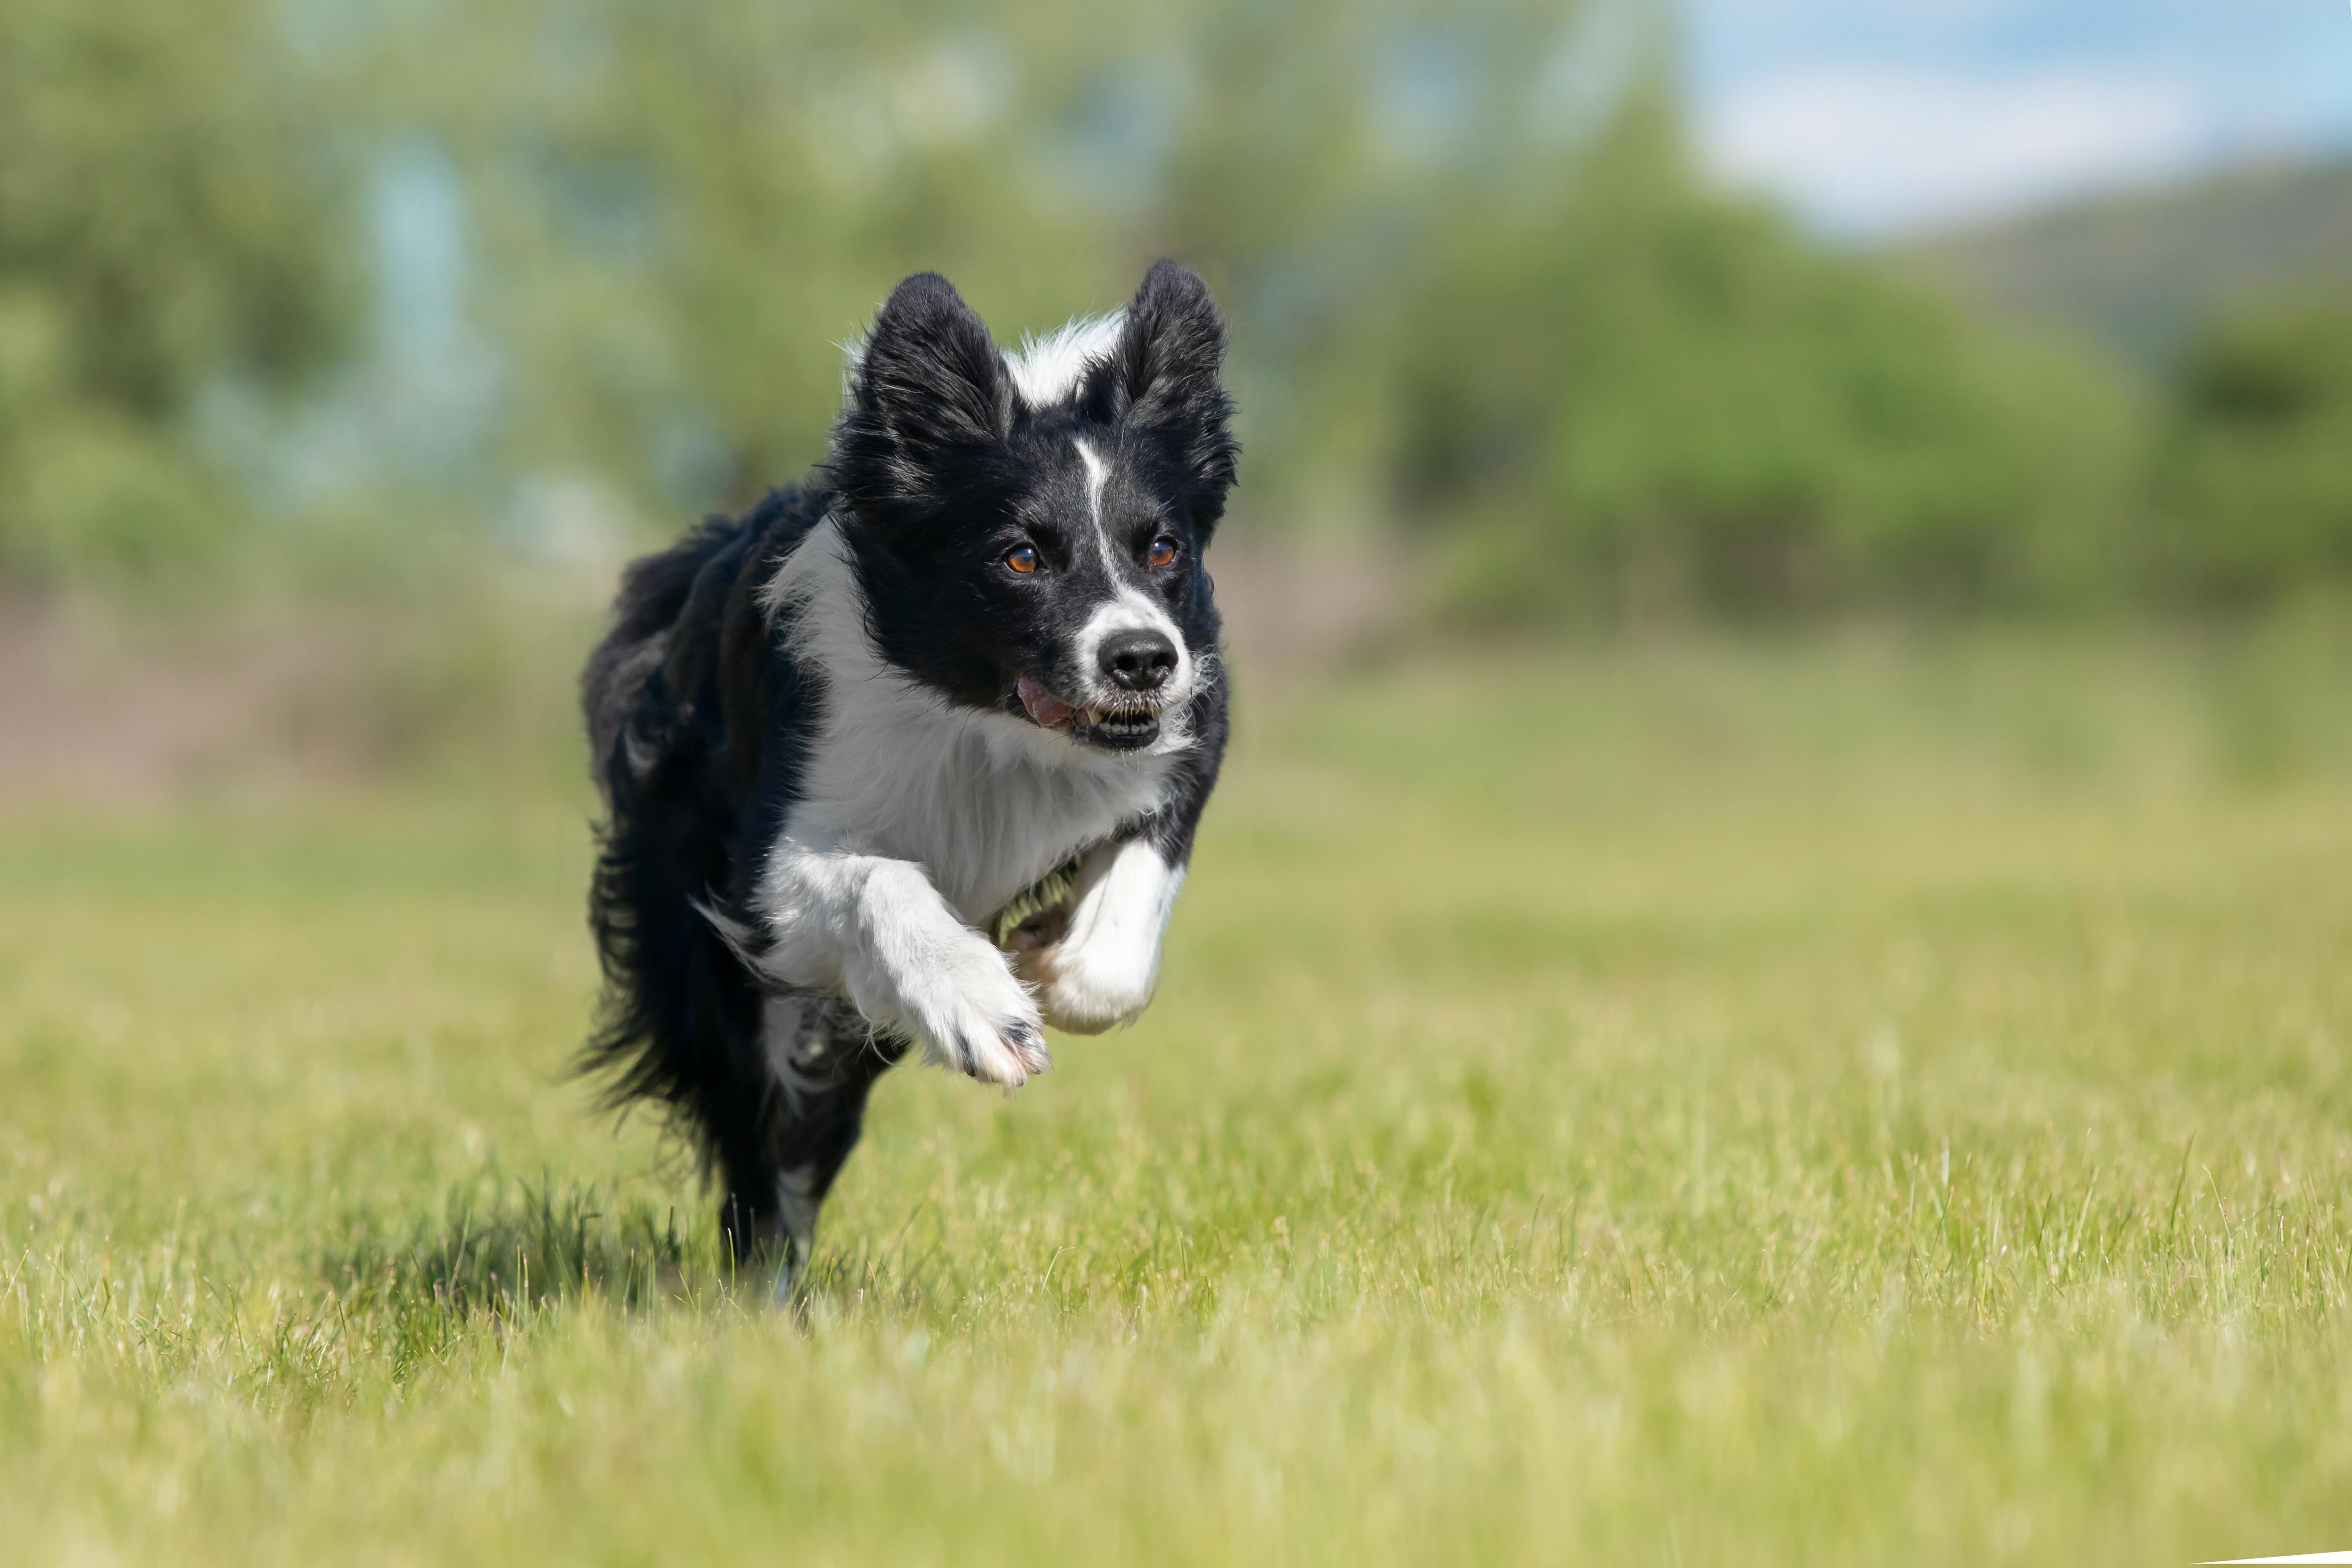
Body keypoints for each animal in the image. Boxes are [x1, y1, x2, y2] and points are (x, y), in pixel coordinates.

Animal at [581, 263, 1242, 1298]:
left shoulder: (1194, 721)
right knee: (764, 1141)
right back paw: (765, 1296)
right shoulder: (760, 883)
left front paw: (1053, 959)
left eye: (1163, 547)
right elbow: (878, 877)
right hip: (705, 960)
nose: (1141, 659)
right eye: (1022, 554)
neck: (986, 720)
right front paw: (981, 1005)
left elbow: (1118, 947)